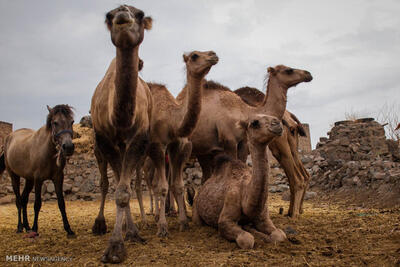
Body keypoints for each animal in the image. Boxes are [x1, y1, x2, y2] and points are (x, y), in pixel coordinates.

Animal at [0, 105, 75, 238]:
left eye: (72, 122)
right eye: (55, 123)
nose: (69, 147)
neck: (48, 152)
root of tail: (9, 138)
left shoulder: (58, 178)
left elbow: (61, 203)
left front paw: (68, 229)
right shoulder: (38, 180)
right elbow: (37, 204)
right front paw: (35, 228)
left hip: (29, 180)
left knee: (24, 200)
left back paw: (27, 226)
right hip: (14, 176)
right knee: (18, 200)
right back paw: (20, 227)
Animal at [192, 113, 286, 249]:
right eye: (255, 123)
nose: (277, 124)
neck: (245, 193)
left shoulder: (263, 218)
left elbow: (280, 235)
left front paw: (264, 235)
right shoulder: (227, 212)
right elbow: (246, 239)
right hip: (196, 209)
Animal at [234, 86, 310, 218]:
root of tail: (290, 118)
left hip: (280, 146)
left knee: (297, 178)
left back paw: (294, 214)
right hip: (291, 146)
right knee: (304, 175)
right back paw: (294, 211)